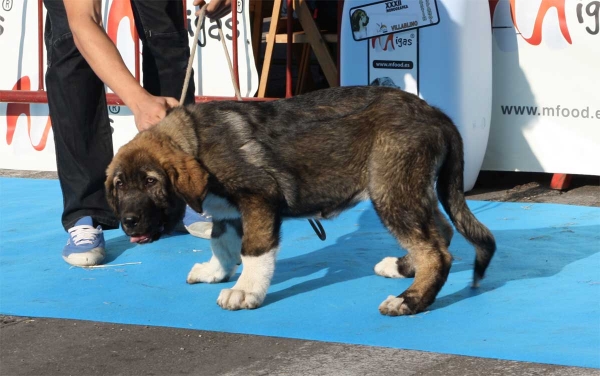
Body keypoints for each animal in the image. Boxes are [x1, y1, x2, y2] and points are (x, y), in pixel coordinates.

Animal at [105, 84, 494, 314]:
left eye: (152, 182)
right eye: (120, 186)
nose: (128, 223)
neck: (195, 145)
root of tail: (436, 114)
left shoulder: (259, 196)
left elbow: (254, 249)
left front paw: (246, 291)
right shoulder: (228, 212)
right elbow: (222, 243)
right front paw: (216, 272)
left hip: (391, 188)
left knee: (436, 251)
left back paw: (410, 300)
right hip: (409, 189)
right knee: (440, 231)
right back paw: (402, 267)